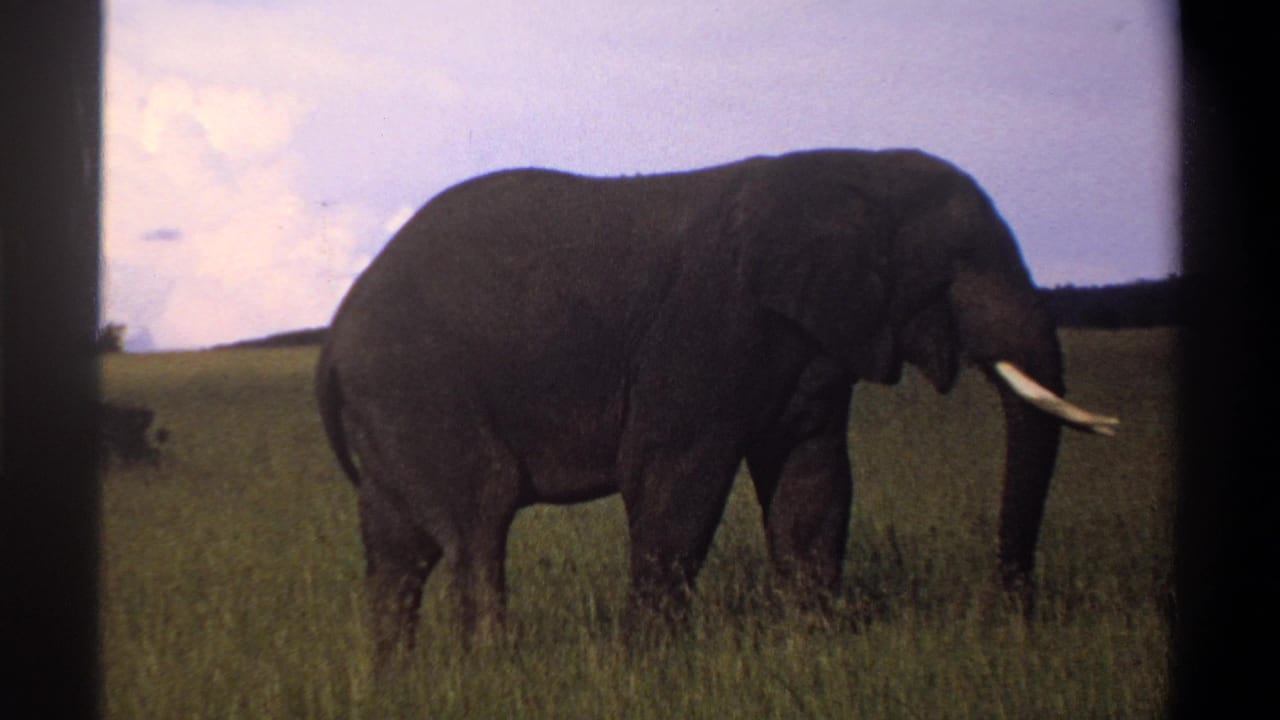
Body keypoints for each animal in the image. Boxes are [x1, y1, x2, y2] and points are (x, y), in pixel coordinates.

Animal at [315, 148, 1117, 664]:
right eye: (961, 263)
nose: (1009, 620)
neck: (852, 173)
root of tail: (334, 333)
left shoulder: (811, 345)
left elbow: (812, 483)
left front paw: (814, 648)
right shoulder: (705, 326)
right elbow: (676, 480)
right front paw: (653, 667)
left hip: (389, 408)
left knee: (400, 551)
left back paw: (396, 679)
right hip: (418, 386)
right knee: (477, 528)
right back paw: (490, 672)